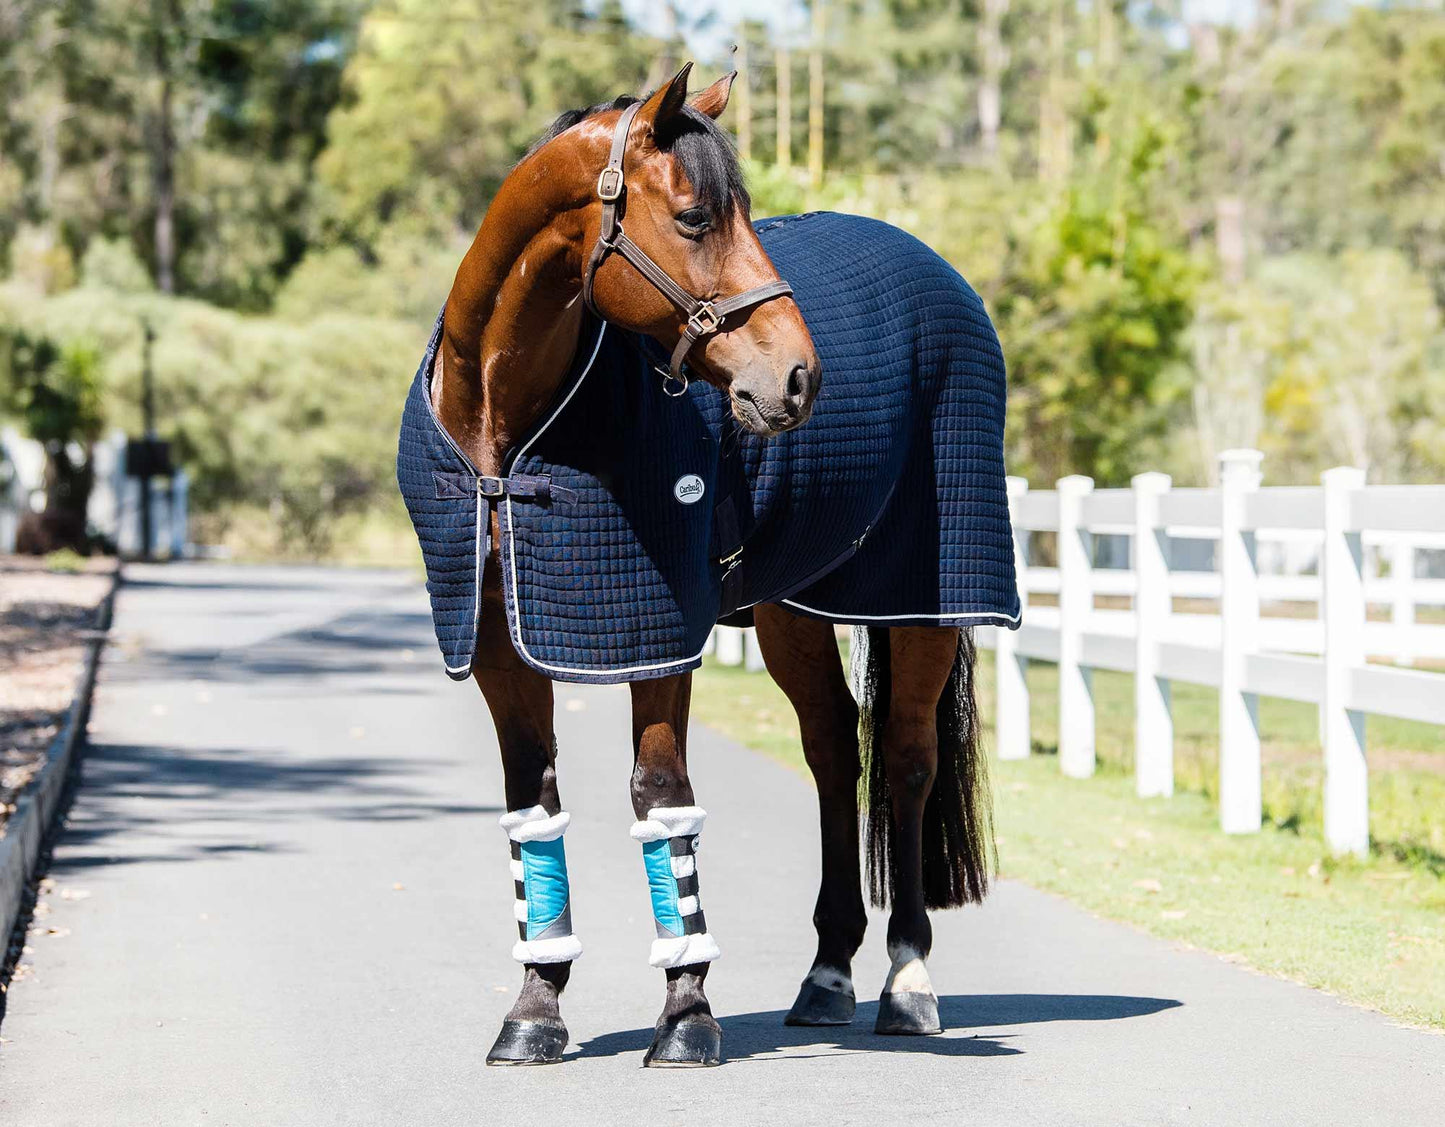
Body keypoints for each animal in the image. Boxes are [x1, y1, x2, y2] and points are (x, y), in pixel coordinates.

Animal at [398, 66, 1017, 1069]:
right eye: (693, 217)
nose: (798, 377)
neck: (502, 431)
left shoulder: (658, 633)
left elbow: (661, 799)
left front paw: (685, 1010)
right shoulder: (496, 635)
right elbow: (532, 801)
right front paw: (534, 1008)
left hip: (923, 600)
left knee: (907, 759)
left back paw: (906, 978)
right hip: (792, 609)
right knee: (832, 747)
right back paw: (826, 973)